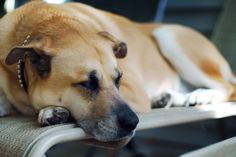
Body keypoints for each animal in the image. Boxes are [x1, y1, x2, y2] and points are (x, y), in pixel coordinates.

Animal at [0, 0, 236, 143]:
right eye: (87, 83)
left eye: (118, 79)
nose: (133, 123)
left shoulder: (136, 91)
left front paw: (51, 111)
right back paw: (169, 98)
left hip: (169, 36)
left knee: (229, 88)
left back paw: (203, 95)